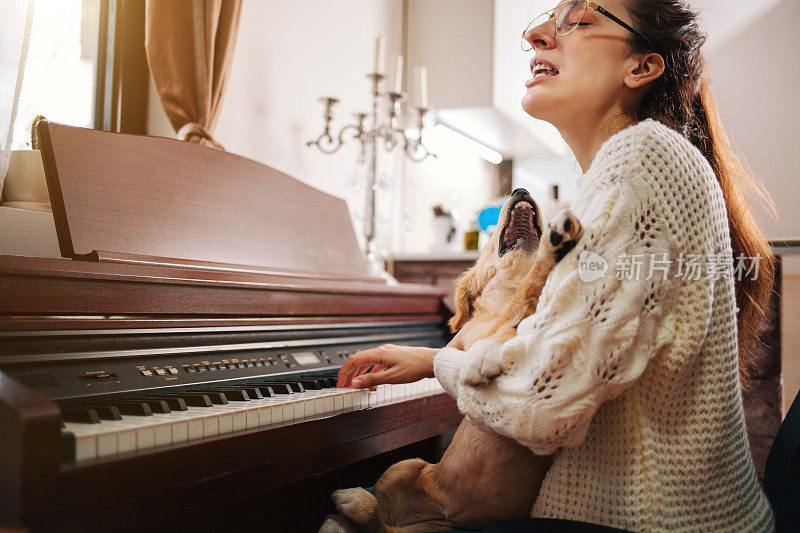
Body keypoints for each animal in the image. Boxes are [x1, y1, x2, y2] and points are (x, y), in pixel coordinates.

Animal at [318, 188, 580, 532]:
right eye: (490, 237)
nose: (520, 190)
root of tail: (441, 518)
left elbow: (524, 301)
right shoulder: (466, 341)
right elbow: (524, 295)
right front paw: (552, 248)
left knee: (384, 526)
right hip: (403, 464)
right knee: (381, 521)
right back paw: (352, 508)